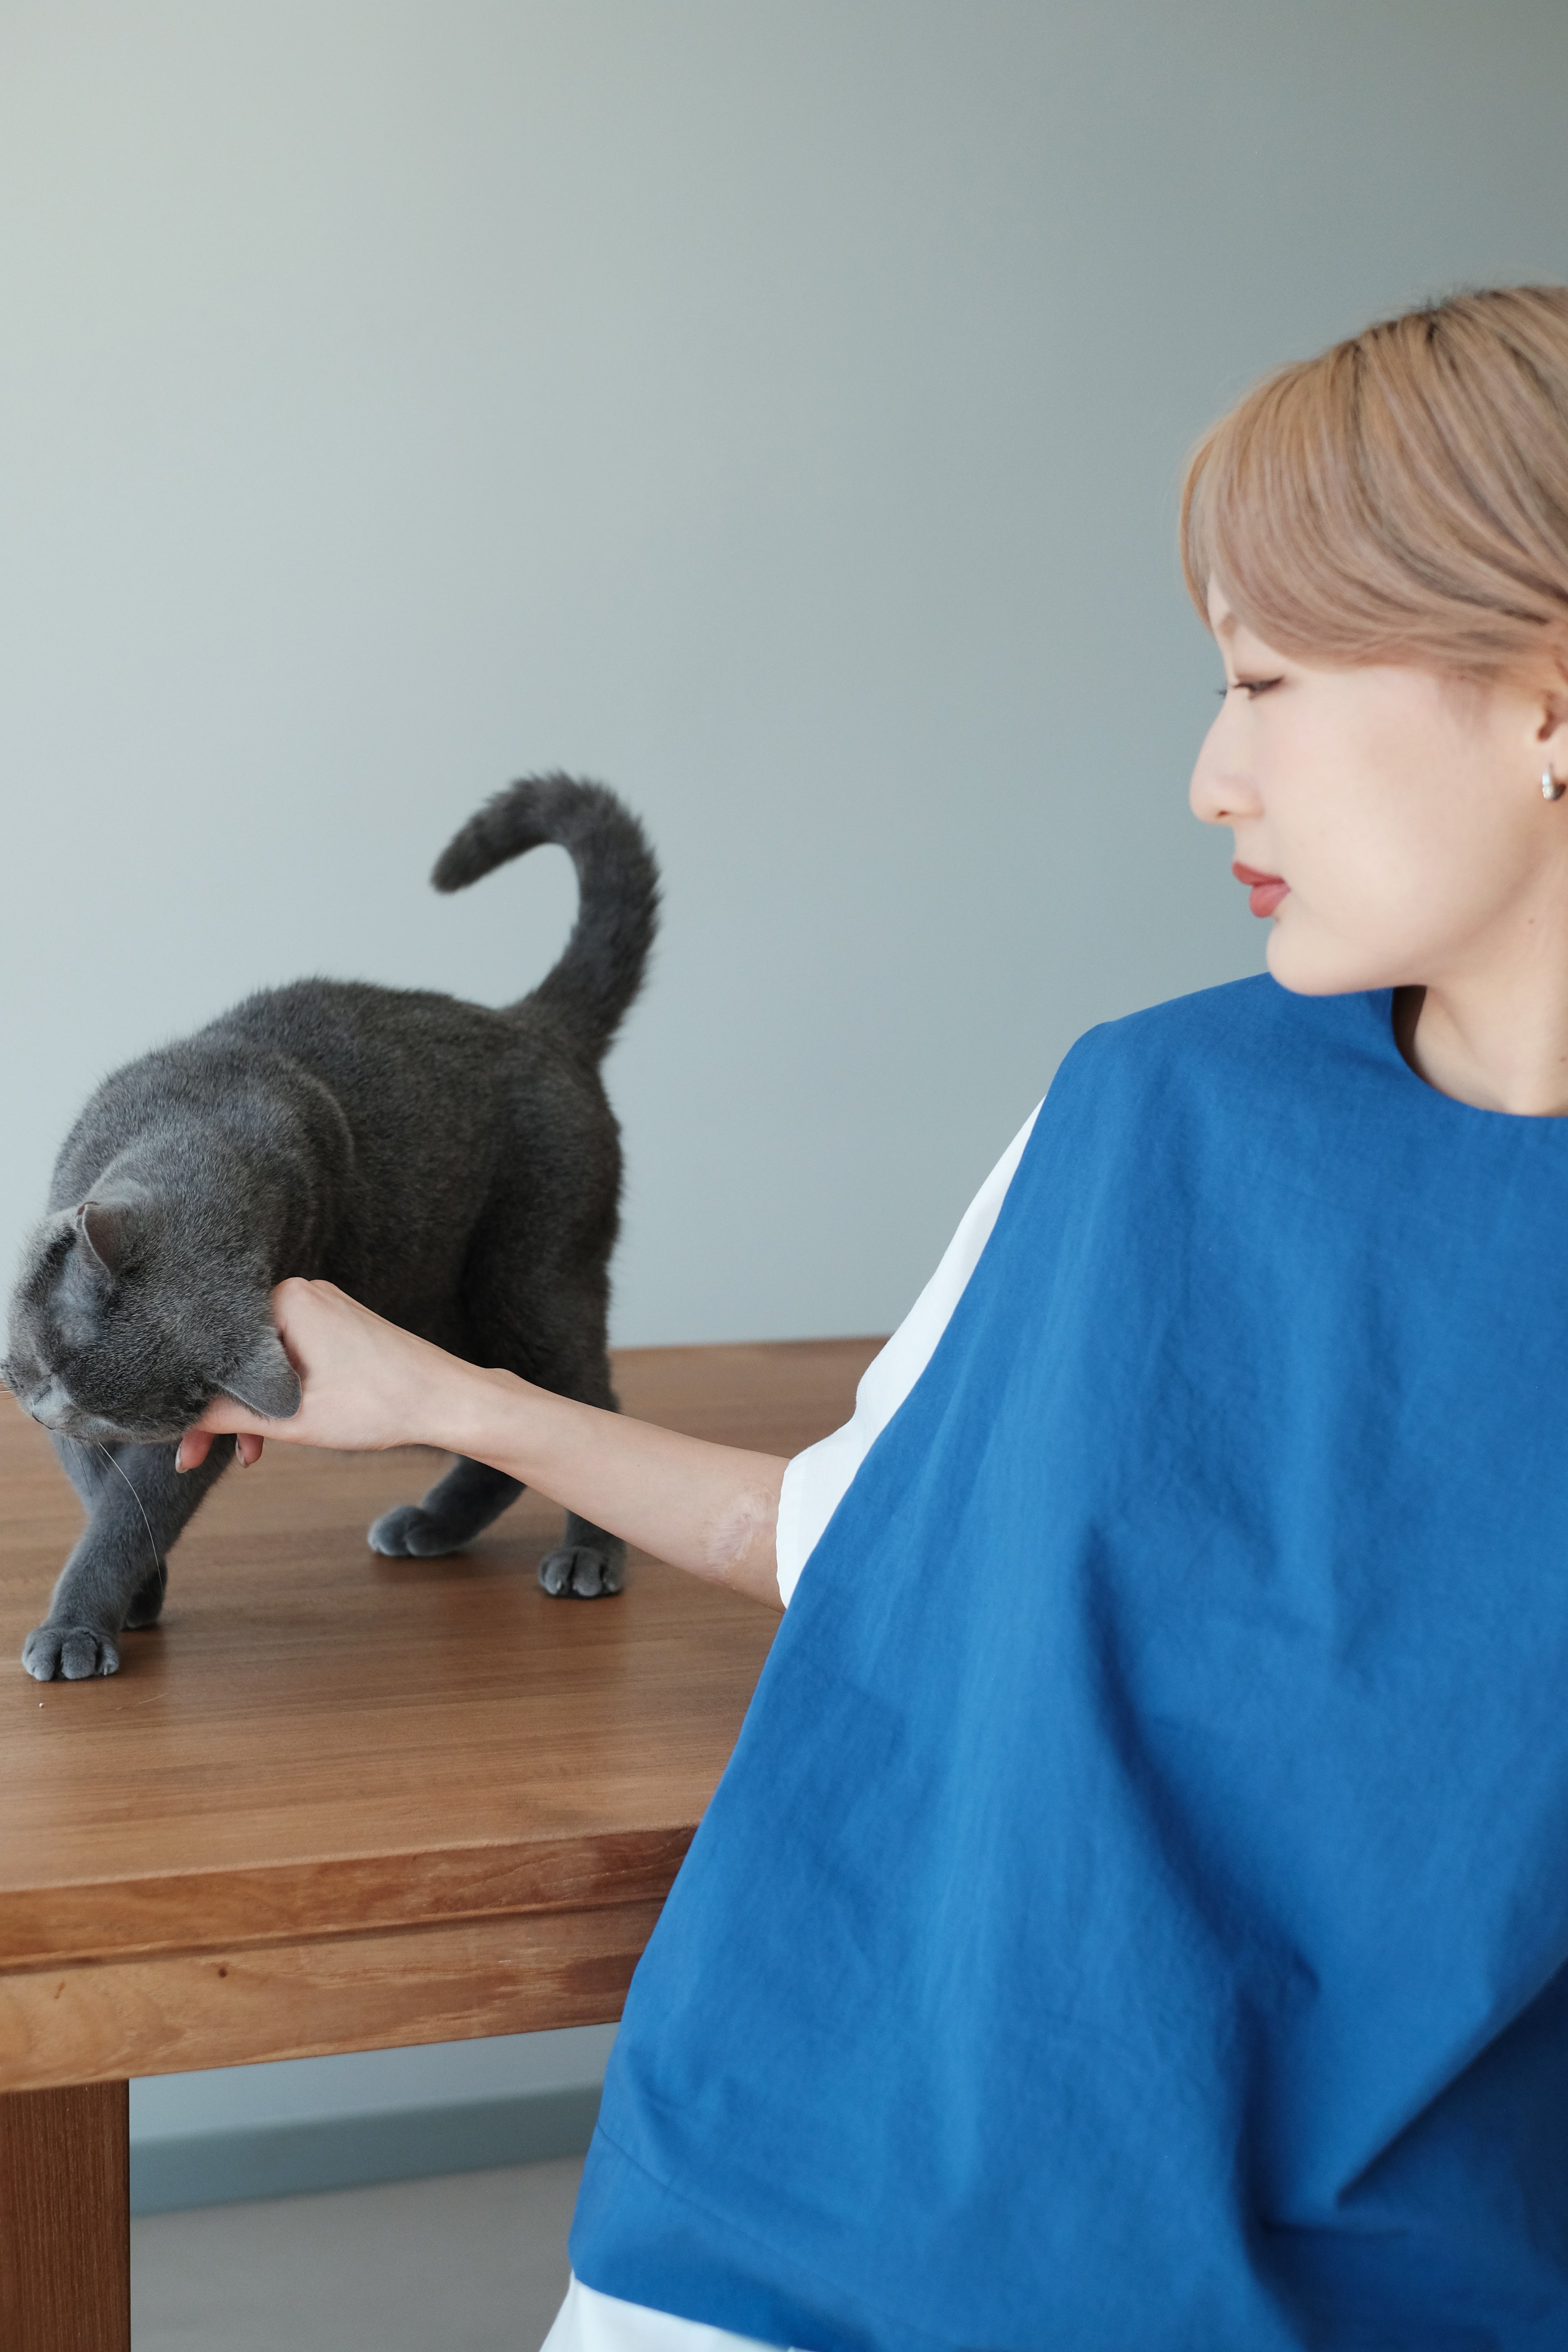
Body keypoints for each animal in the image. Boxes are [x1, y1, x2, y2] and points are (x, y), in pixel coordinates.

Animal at [2, 773, 658, 1681]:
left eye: (116, 1412)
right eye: (54, 1366)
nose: (39, 1409)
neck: (207, 1129)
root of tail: (537, 1023)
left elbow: (133, 1510)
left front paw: (80, 1623)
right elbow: (102, 1492)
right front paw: (135, 1599)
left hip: (533, 1276)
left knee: (587, 1399)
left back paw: (589, 1553)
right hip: (441, 1309)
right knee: (503, 1416)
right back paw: (432, 1524)